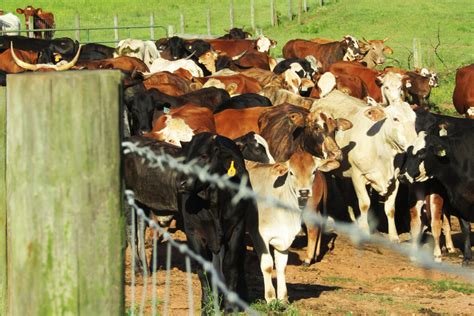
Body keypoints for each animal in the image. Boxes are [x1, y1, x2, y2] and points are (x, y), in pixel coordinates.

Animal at [312, 91, 418, 242]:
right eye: (396, 119)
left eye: (414, 119)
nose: (414, 144)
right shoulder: (358, 175)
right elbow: (364, 203)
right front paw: (364, 230)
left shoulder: (395, 180)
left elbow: (390, 209)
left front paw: (394, 236)